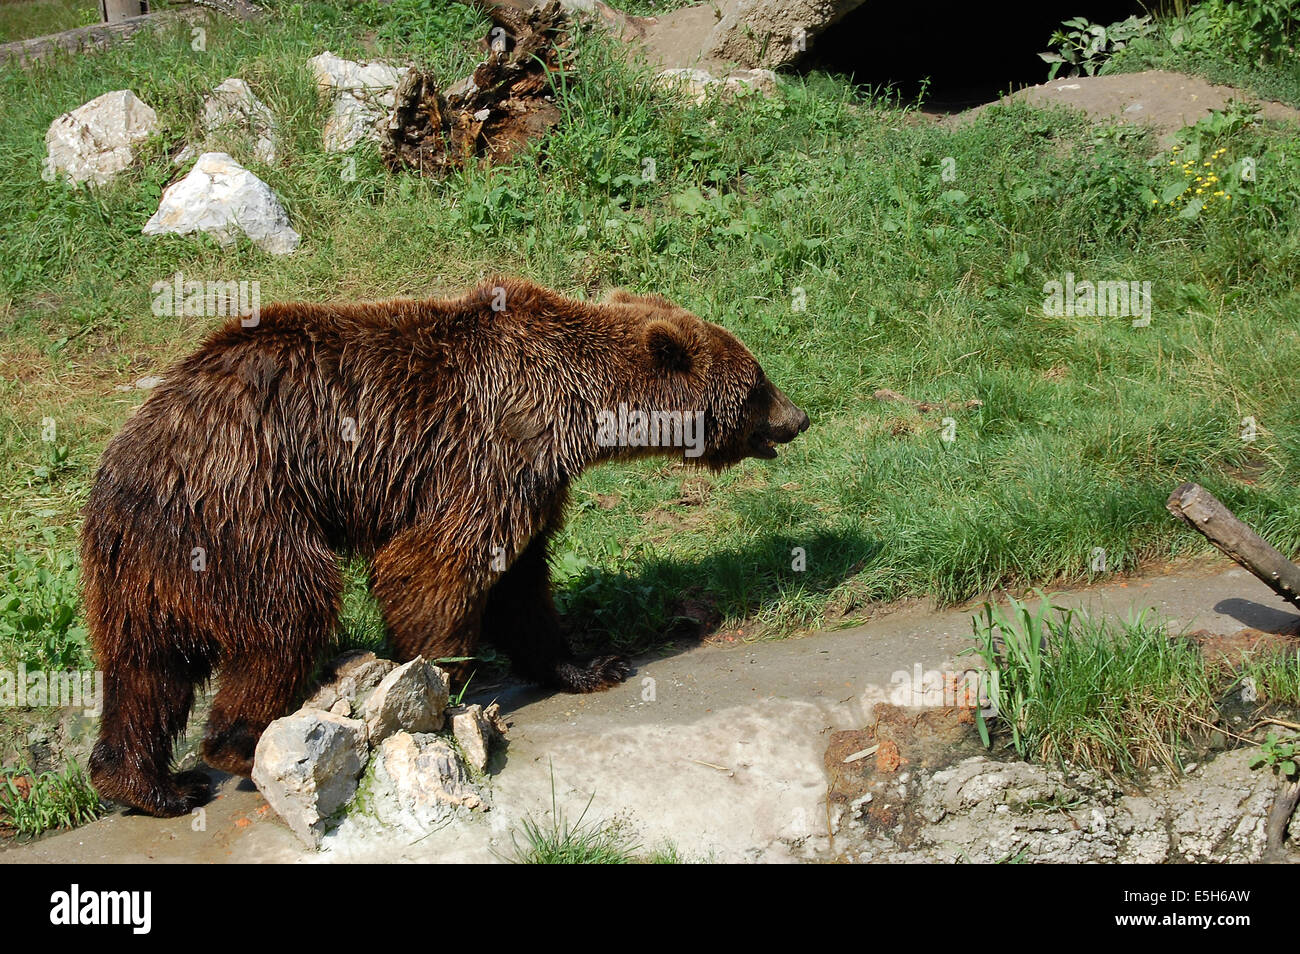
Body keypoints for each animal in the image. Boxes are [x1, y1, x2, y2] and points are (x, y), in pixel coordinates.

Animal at [81, 274, 806, 816]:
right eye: (758, 382)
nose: (797, 417)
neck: (571, 409)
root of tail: (131, 460)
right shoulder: (485, 452)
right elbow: (435, 567)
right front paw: (440, 692)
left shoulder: (534, 482)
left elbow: (522, 586)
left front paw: (591, 665)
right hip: (247, 514)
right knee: (287, 615)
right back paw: (241, 742)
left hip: (146, 565)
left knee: (146, 672)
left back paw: (152, 784)